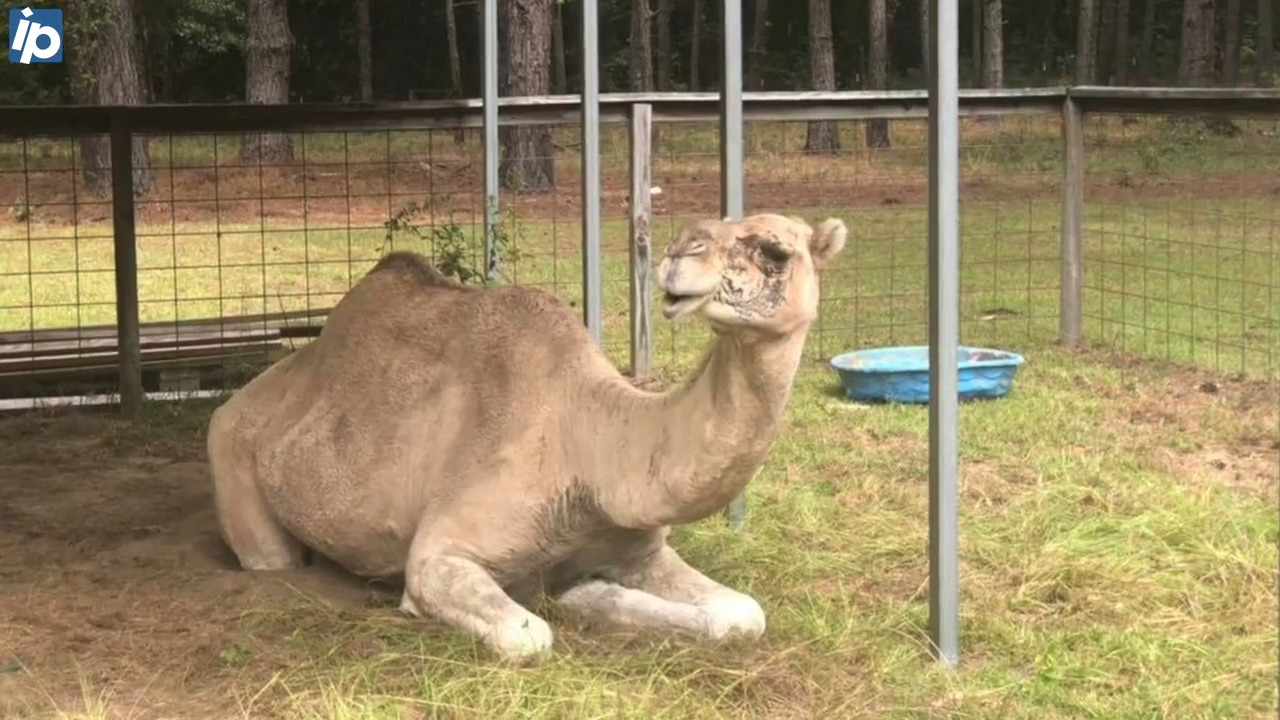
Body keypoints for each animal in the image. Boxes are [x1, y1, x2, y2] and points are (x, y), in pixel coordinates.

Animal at [206, 212, 847, 662]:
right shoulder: (438, 554)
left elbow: (743, 616)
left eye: (775, 251)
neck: (591, 452)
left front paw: (586, 596)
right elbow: (527, 635)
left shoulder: (638, 548)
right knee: (269, 554)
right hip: (235, 460)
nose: (678, 254)